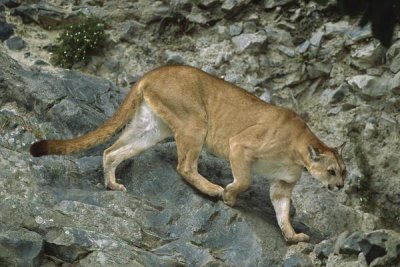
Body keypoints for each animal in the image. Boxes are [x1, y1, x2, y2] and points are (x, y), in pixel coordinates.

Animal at [30, 64, 346, 243]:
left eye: (343, 173)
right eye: (332, 171)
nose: (340, 186)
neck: (298, 154)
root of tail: (156, 70)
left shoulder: (282, 184)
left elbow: (282, 210)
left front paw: (292, 236)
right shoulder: (240, 145)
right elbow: (244, 181)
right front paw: (229, 196)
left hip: (151, 128)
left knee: (111, 150)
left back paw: (113, 184)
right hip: (195, 123)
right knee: (184, 166)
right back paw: (212, 189)